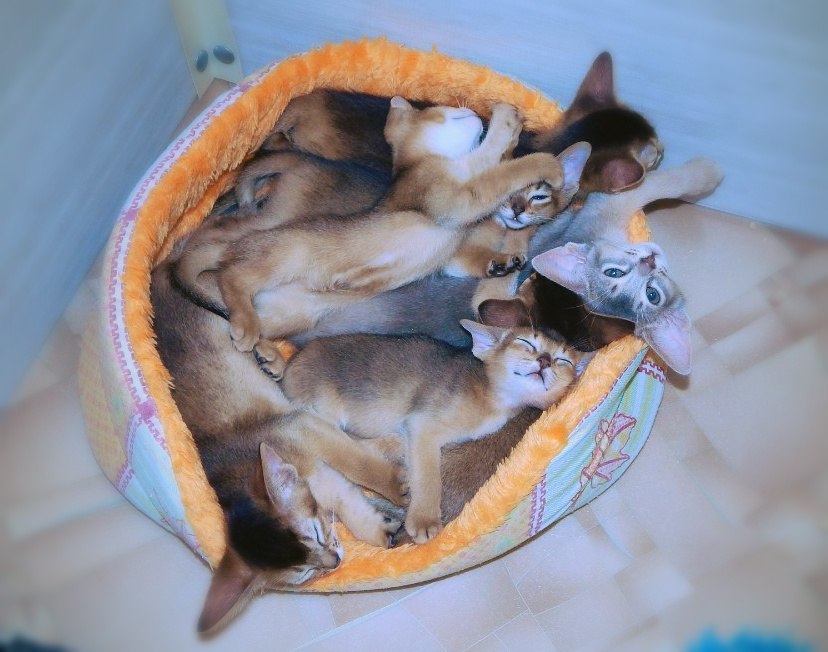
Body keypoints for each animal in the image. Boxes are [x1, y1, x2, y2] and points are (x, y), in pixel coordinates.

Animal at [172, 99, 568, 380]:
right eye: (443, 112)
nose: (470, 110)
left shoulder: (453, 246)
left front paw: (499, 262)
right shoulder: (458, 195)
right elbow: (502, 169)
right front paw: (529, 145)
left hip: (287, 314)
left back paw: (269, 355)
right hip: (284, 254)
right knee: (232, 275)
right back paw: (245, 327)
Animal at [282, 320, 580, 540]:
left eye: (563, 361)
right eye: (526, 343)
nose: (545, 360)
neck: (493, 398)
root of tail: (291, 367)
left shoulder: (408, 434)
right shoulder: (421, 425)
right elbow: (428, 474)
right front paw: (424, 520)